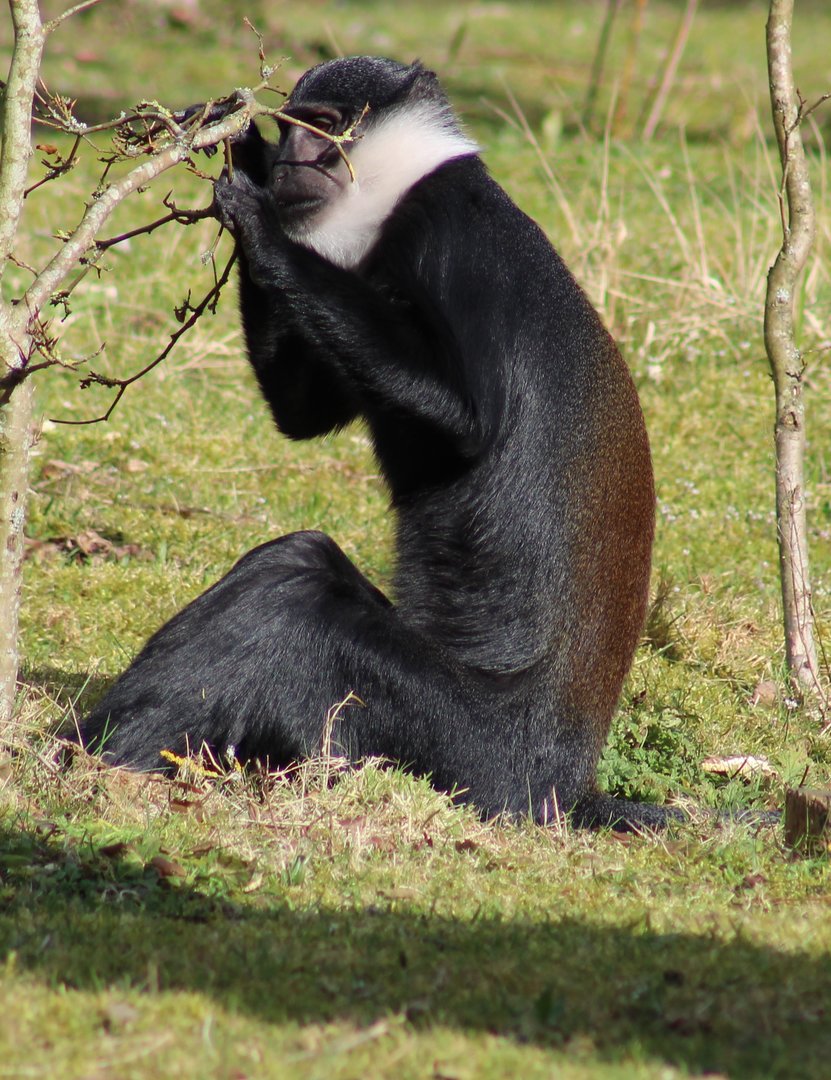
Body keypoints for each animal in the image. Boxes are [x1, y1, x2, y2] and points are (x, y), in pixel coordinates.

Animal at [79, 56, 677, 830]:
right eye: (292, 125)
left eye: (324, 128)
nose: (291, 161)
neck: (399, 186)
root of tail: (569, 788)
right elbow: (303, 416)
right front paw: (243, 146)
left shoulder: (443, 235)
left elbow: (464, 419)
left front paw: (260, 219)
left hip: (474, 753)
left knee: (292, 589)